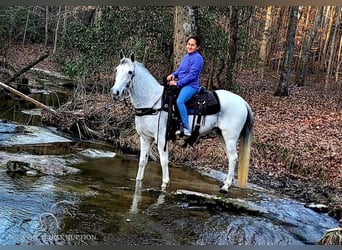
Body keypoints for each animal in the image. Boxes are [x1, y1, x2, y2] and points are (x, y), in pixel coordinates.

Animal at [111, 51, 252, 192]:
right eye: (117, 70)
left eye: (130, 72)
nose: (115, 92)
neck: (152, 101)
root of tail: (243, 102)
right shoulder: (145, 138)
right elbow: (142, 162)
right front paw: (138, 182)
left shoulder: (161, 138)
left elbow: (163, 161)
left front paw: (165, 184)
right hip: (221, 135)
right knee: (230, 157)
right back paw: (225, 182)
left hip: (230, 137)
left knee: (233, 158)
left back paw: (226, 186)